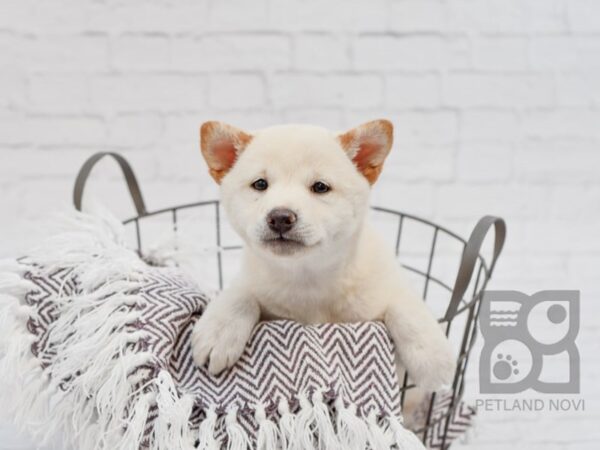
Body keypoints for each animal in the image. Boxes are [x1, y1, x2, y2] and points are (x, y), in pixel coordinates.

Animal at [192, 121, 454, 392]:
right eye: (260, 184)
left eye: (320, 187)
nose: (280, 217)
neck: (308, 279)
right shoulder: (252, 279)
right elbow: (240, 294)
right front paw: (218, 331)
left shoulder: (386, 280)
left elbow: (405, 305)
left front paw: (433, 357)